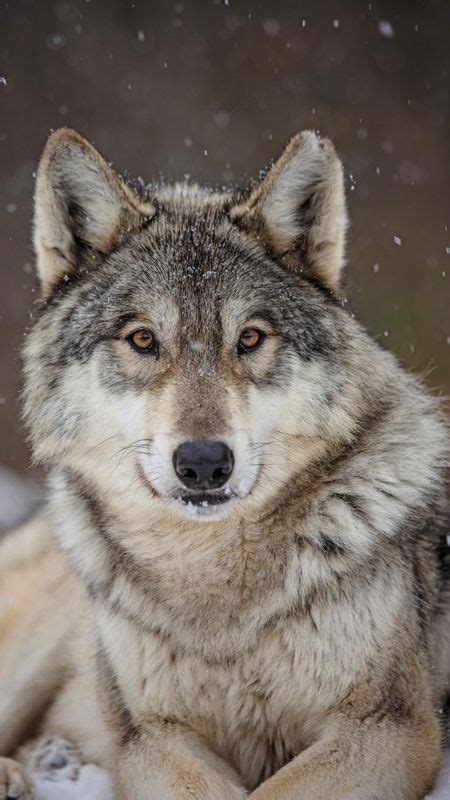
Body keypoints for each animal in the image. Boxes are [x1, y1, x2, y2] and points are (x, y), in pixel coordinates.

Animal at [0, 128, 448, 800]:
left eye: (250, 338)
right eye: (143, 339)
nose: (205, 463)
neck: (216, 592)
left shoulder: (393, 727)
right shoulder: (149, 736)